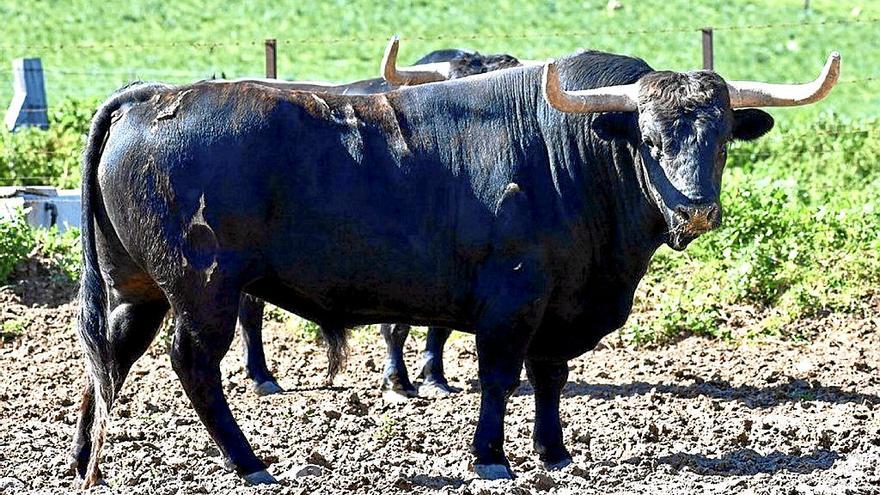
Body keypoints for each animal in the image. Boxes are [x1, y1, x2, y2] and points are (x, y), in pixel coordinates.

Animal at [72, 49, 780, 484]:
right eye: (650, 138)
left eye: (720, 141)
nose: (696, 210)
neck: (567, 151)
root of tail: (152, 96)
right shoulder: (512, 300)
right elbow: (499, 377)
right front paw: (490, 457)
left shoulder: (560, 306)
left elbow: (548, 377)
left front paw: (553, 452)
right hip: (205, 290)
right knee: (192, 367)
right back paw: (249, 462)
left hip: (134, 288)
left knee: (106, 360)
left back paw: (84, 461)